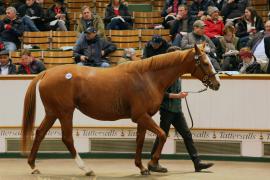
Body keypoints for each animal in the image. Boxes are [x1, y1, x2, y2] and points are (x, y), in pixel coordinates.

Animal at [21, 44, 219, 176]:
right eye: (204, 62)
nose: (217, 84)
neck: (148, 77)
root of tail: (47, 73)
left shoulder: (143, 118)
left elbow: (140, 141)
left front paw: (142, 167)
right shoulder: (141, 116)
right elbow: (162, 135)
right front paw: (152, 163)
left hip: (52, 113)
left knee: (40, 133)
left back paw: (33, 166)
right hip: (65, 113)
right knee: (67, 139)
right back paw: (87, 169)